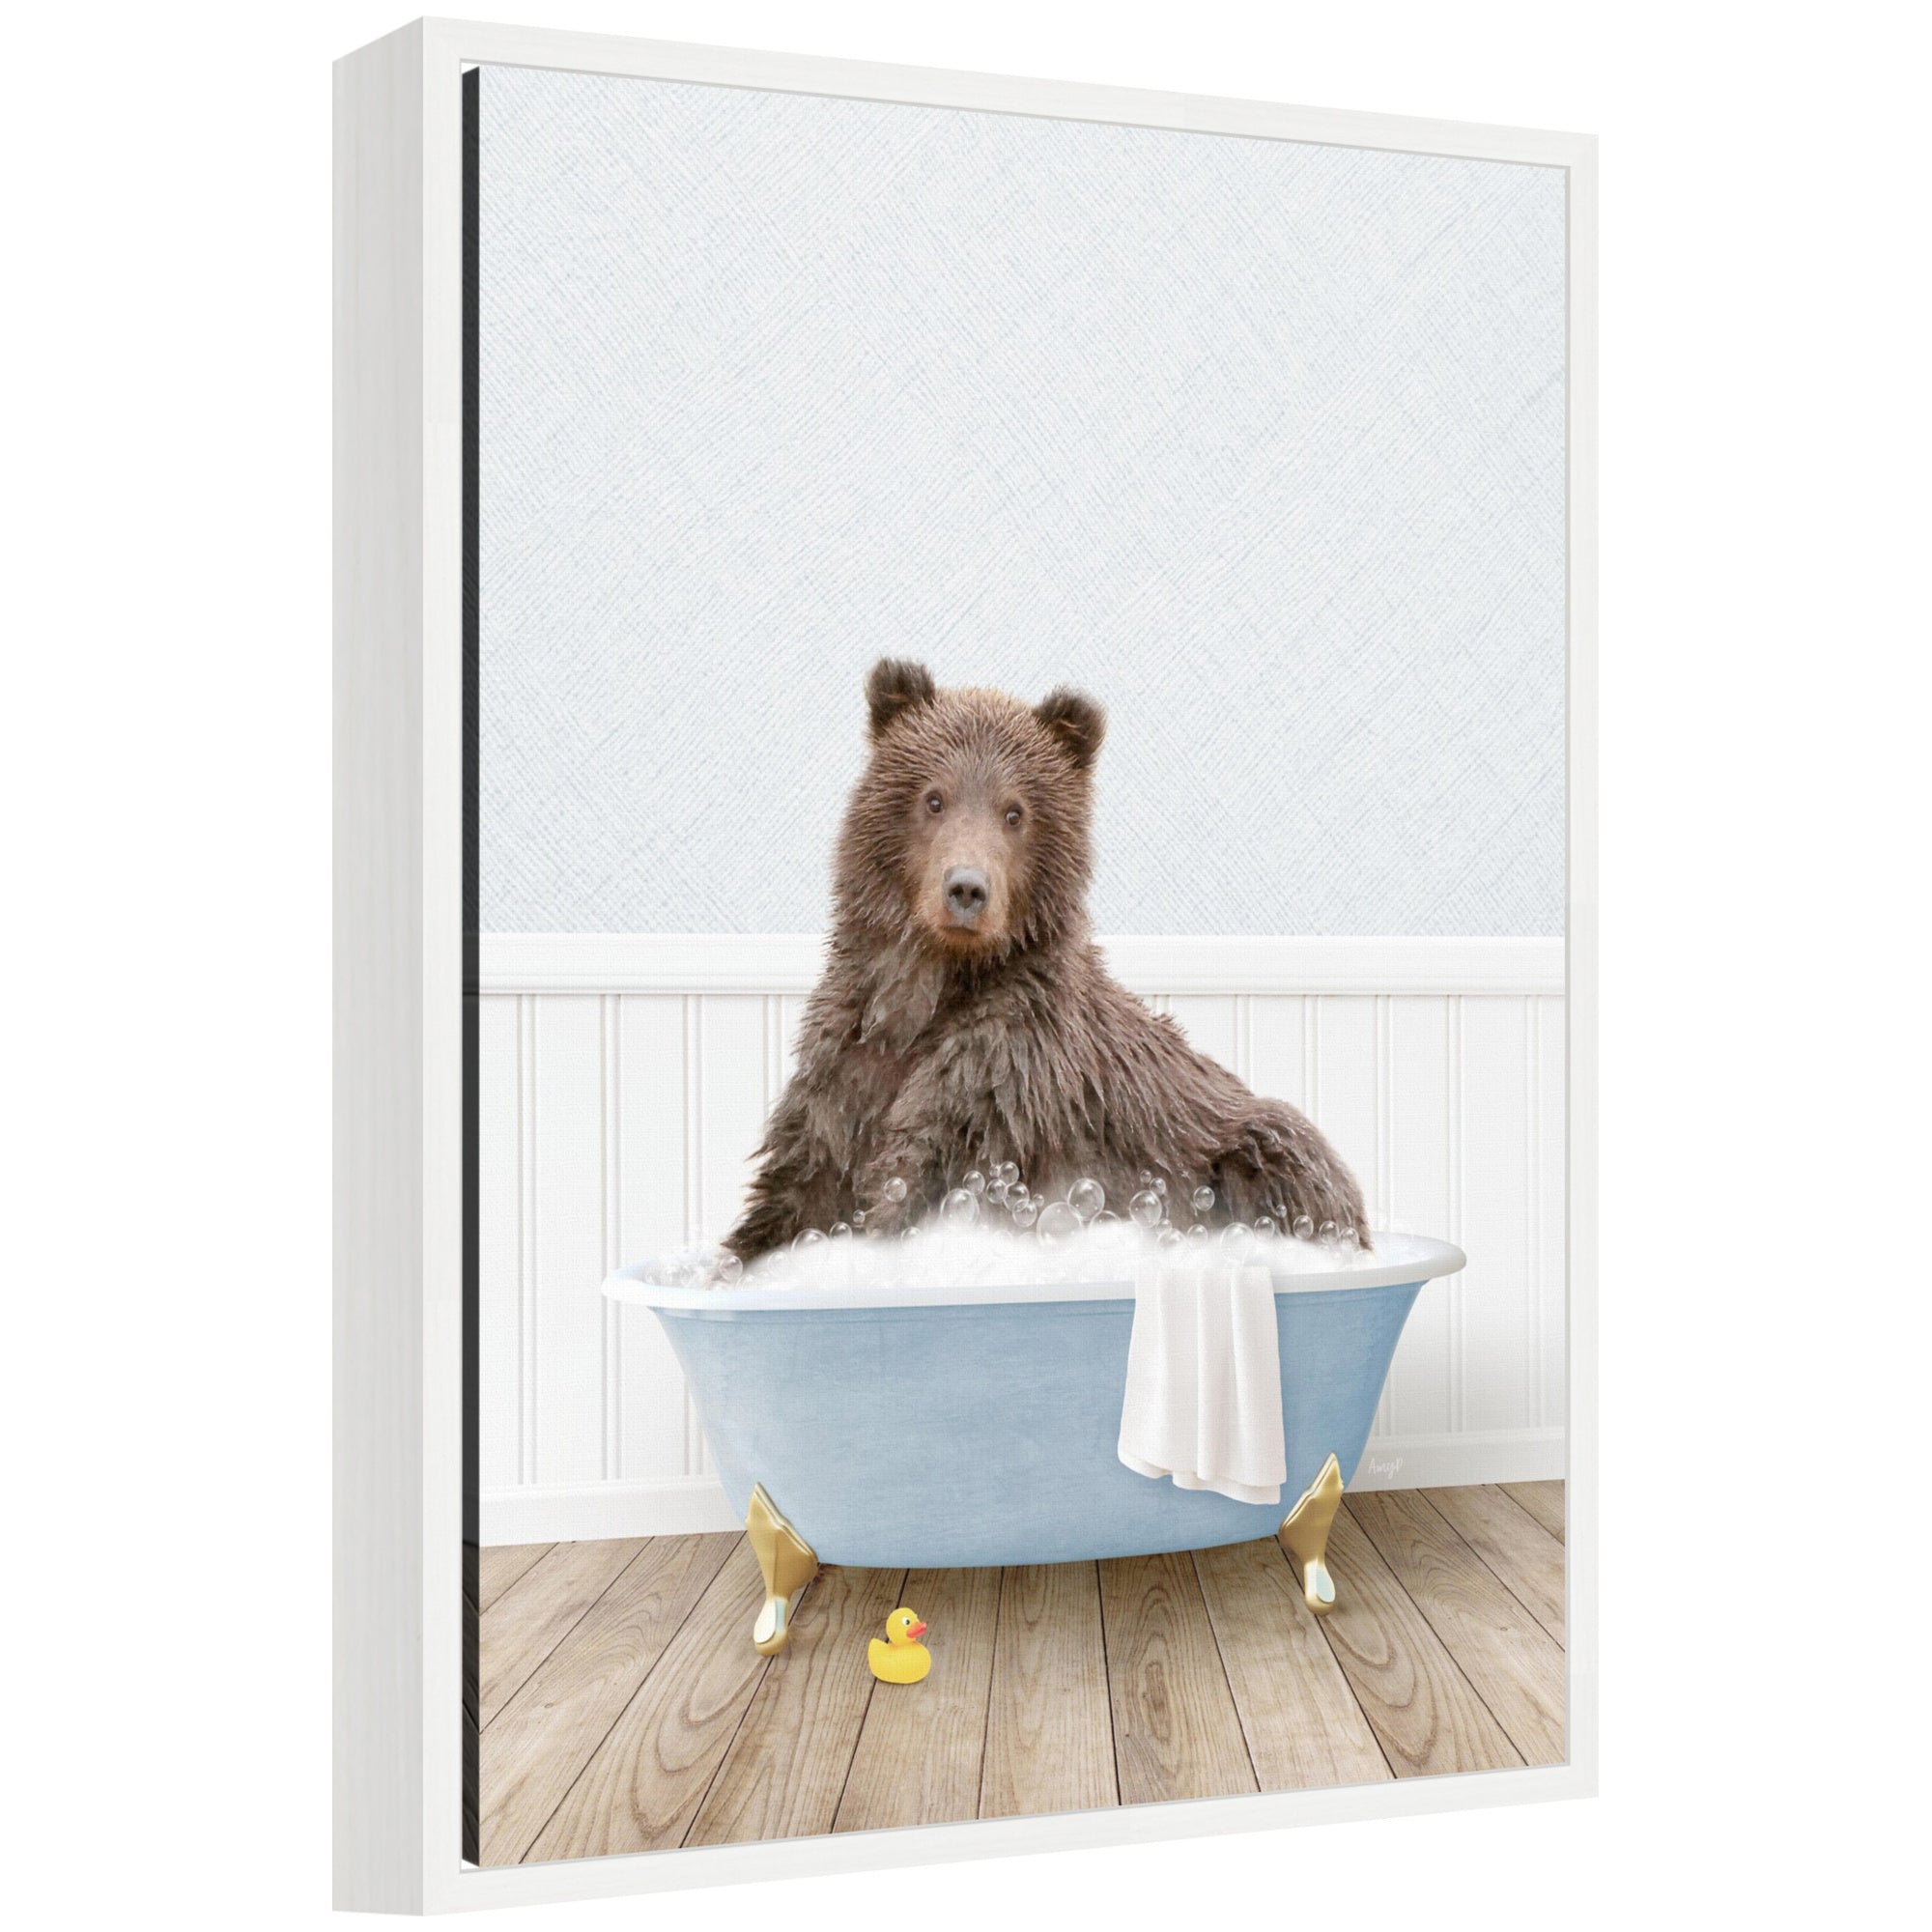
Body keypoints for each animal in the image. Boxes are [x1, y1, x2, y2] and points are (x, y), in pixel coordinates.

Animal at [725, 659, 1368, 1262]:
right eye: (933, 798)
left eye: (1015, 812)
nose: (966, 889)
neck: (932, 988)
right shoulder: (843, 1074)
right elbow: (792, 1195)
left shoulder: (1003, 1081)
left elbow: (918, 1179)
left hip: (1253, 1149)